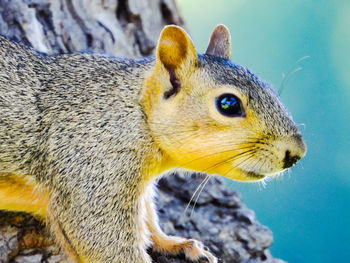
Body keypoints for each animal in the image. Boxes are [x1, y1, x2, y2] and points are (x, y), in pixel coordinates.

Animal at [0, 25, 306, 263]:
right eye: (228, 104)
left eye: (271, 90)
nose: (296, 153)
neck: (136, 112)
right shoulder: (91, 168)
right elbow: (103, 239)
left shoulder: (136, 184)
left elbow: (148, 215)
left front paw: (175, 243)